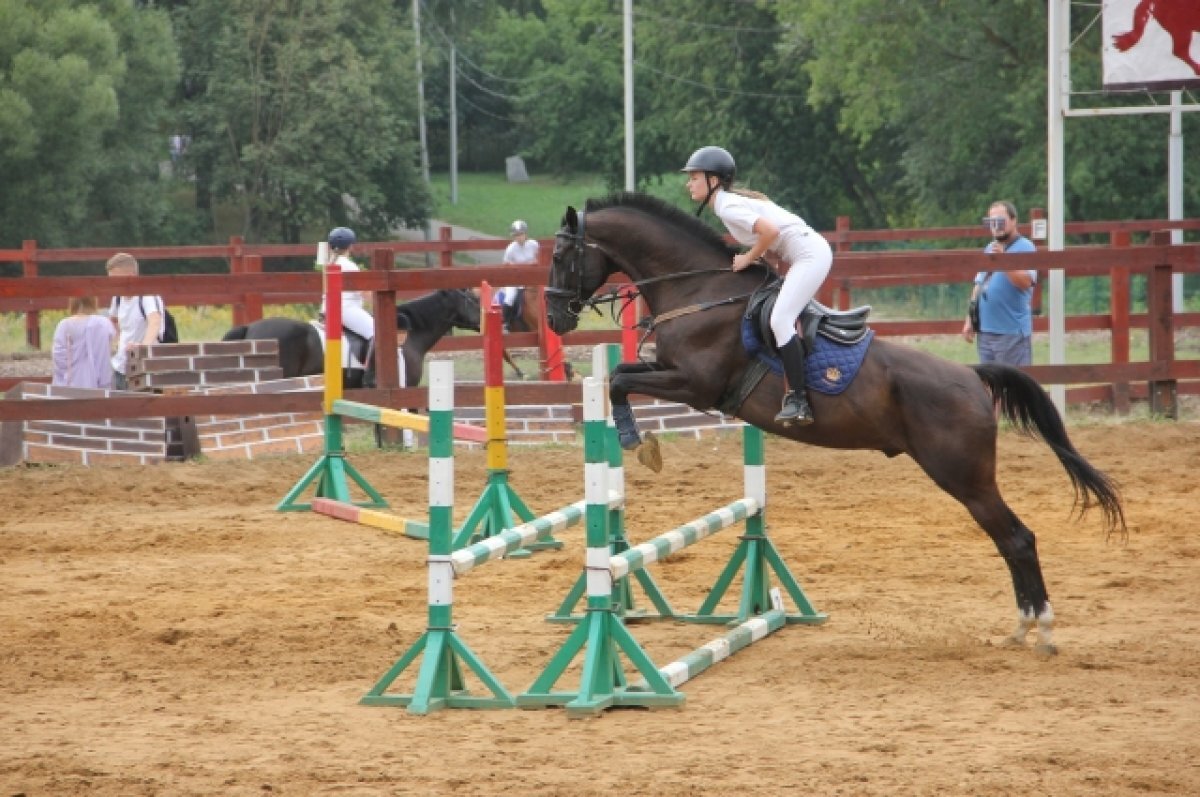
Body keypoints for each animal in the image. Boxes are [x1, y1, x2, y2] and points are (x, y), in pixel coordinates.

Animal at [544, 192, 1123, 652]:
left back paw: (1038, 627)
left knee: (1017, 539)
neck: (700, 292)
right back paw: (1024, 627)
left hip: (964, 476)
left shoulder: (696, 385)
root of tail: (970, 375)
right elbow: (621, 374)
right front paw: (636, 439)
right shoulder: (675, 375)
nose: (553, 318)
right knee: (1011, 540)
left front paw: (636, 441)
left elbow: (618, 382)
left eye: (560, 255)